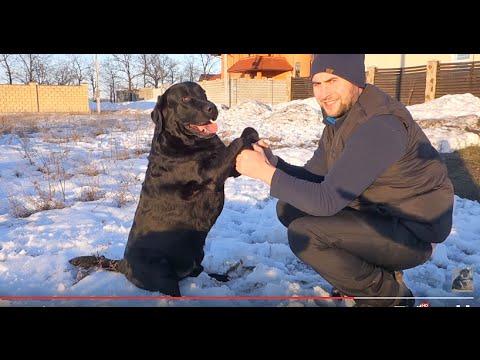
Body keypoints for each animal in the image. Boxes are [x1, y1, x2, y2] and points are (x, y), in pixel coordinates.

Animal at [68, 83, 258, 296]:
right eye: (185, 99)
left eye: (204, 94)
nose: (213, 107)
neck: (187, 142)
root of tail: (123, 264)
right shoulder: (211, 173)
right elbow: (234, 144)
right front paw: (245, 136)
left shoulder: (229, 170)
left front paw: (252, 133)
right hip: (161, 272)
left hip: (197, 254)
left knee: (198, 272)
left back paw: (220, 277)